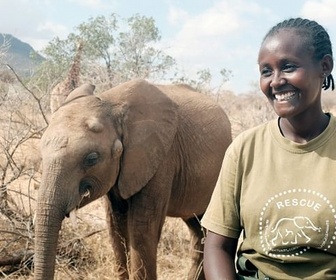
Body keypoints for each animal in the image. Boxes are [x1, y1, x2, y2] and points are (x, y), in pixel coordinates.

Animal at [34, 79, 234, 280]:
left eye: (92, 158)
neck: (110, 103)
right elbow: (116, 227)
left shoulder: (161, 158)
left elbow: (141, 229)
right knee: (198, 229)